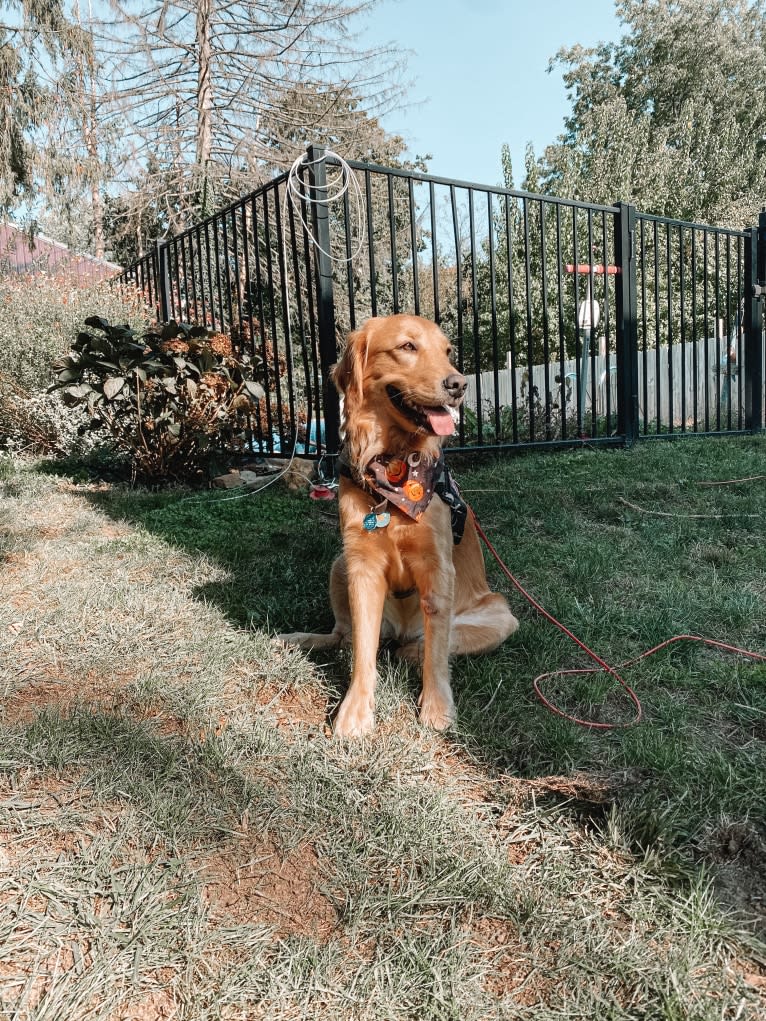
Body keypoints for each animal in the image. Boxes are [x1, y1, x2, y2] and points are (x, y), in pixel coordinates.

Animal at [279, 310, 518, 735]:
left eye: (448, 351)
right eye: (407, 346)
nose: (458, 384)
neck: (393, 466)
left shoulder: (437, 567)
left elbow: (436, 652)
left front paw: (437, 708)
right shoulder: (361, 566)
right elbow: (362, 650)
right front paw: (355, 710)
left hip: (501, 616)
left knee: (421, 646)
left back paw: (407, 648)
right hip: (338, 566)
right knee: (344, 637)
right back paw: (300, 638)